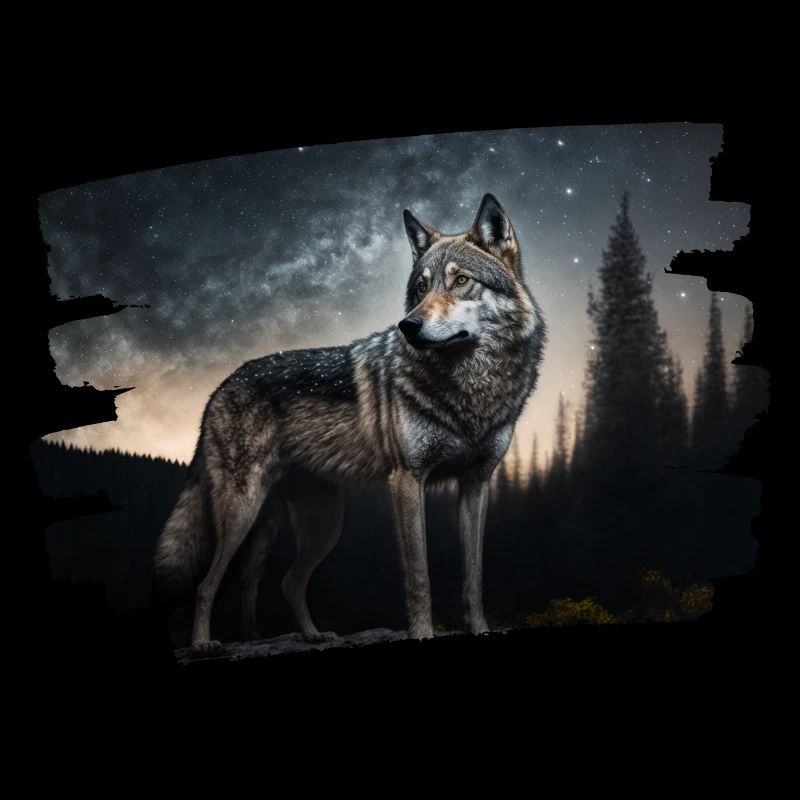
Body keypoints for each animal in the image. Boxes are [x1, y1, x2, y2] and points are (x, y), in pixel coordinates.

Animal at [154, 194, 546, 652]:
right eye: (420, 287)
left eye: (461, 280)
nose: (408, 325)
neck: (471, 389)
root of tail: (219, 388)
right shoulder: (407, 481)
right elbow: (419, 577)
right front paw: (421, 633)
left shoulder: (476, 484)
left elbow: (474, 575)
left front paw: (480, 628)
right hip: (243, 512)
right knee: (207, 584)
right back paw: (203, 643)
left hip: (319, 524)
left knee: (283, 582)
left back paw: (308, 636)